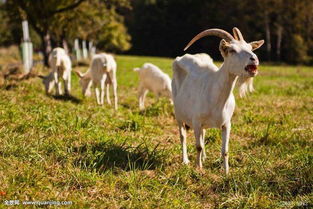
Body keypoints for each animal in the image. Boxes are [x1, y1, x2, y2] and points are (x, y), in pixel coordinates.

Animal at [171, 28, 264, 175]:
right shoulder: (196, 122)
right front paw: (199, 169)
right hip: (179, 115)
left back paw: (204, 157)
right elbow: (198, 146)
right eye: (232, 50)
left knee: (203, 135)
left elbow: (225, 150)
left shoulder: (226, 124)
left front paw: (226, 172)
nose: (254, 59)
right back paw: (185, 160)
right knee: (183, 136)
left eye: (250, 48)